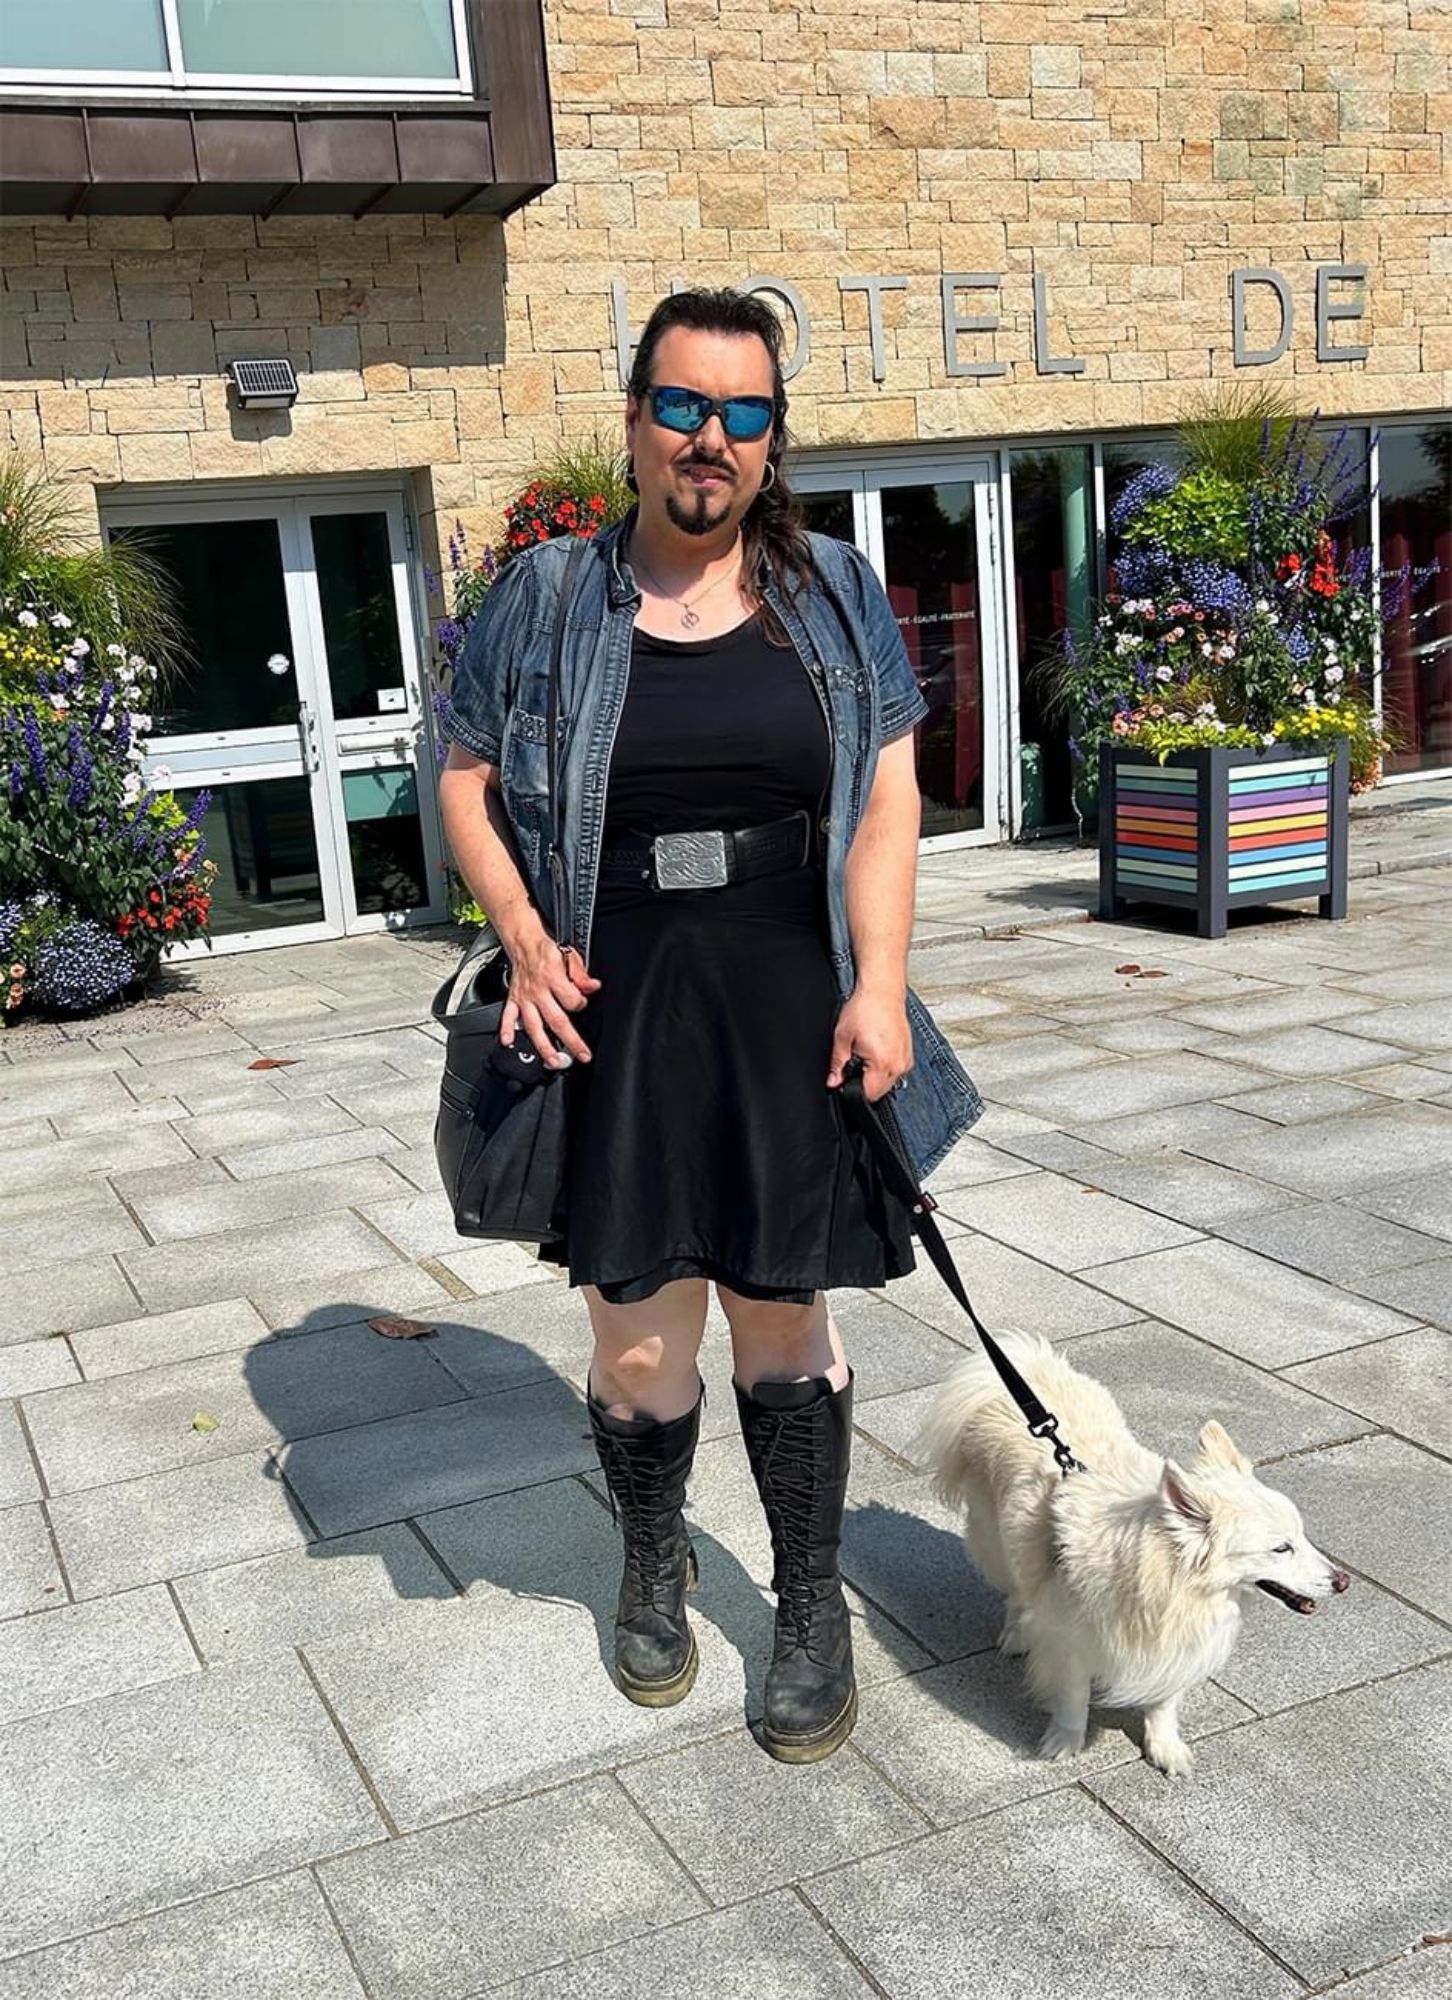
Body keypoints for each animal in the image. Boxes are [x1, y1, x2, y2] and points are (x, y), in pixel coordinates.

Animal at [914, 1331, 1350, 1778]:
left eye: (1302, 1536)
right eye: (1281, 1548)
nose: (1343, 1580)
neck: (1169, 1584)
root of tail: (1028, 1370)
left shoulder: (1173, 1652)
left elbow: (1163, 1704)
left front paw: (1164, 1748)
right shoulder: (1070, 1643)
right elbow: (1073, 1699)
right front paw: (1066, 1741)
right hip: (1000, 1543)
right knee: (1018, 1590)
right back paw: (1017, 1632)